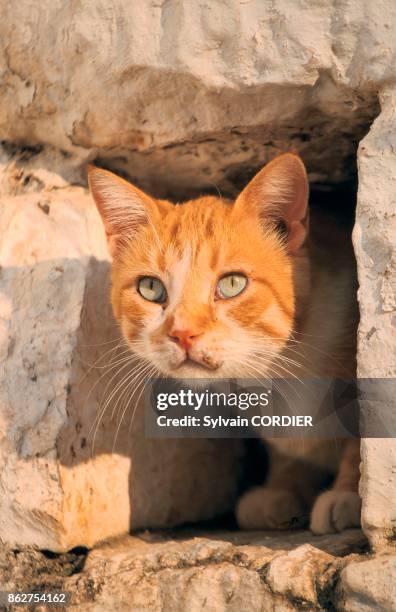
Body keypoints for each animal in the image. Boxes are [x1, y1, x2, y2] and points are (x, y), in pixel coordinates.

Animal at [88, 154, 360, 536]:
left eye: (232, 284)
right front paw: (282, 489)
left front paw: (349, 494)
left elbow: (361, 441)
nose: (183, 333)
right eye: (151, 288)